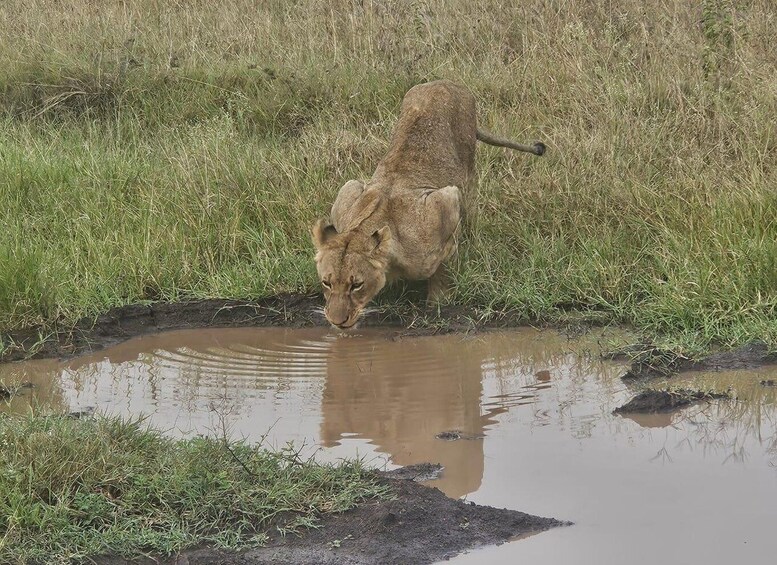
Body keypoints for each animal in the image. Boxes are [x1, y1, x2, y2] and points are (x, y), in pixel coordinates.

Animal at [312, 79, 545, 329]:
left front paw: (438, 303)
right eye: (326, 283)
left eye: (356, 285)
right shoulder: (348, 190)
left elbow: (444, 269)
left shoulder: (446, 202)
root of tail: (444, 82)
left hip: (468, 173)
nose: (336, 321)